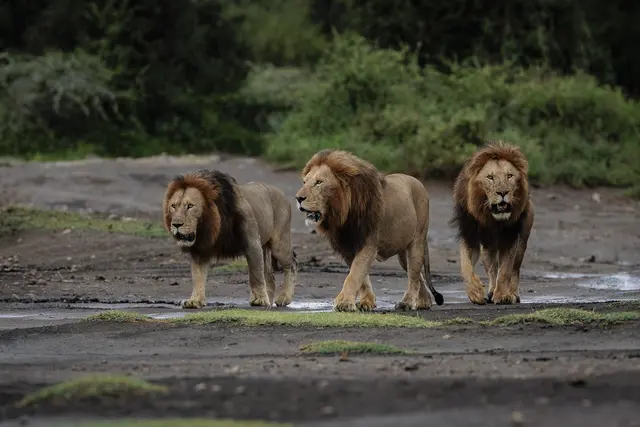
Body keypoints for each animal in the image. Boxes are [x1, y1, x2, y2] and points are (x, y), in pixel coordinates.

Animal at [162, 169, 298, 309]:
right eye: (173, 206)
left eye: (190, 206)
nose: (176, 224)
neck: (211, 225)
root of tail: (281, 192)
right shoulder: (200, 250)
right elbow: (197, 276)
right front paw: (195, 300)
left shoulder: (252, 244)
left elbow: (255, 275)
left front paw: (258, 300)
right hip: (265, 246)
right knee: (270, 276)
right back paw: (269, 302)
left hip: (279, 244)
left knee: (292, 264)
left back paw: (284, 298)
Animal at [294, 149, 444, 312]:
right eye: (304, 182)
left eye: (319, 182)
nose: (298, 198)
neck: (343, 214)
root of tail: (417, 182)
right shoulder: (348, 246)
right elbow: (361, 277)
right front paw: (366, 302)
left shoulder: (368, 243)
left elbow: (355, 274)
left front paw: (344, 303)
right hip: (403, 254)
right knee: (417, 276)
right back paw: (424, 302)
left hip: (416, 242)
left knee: (414, 275)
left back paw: (407, 302)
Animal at [449, 140, 535, 305]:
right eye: (490, 177)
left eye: (509, 176)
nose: (503, 192)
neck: (493, 220)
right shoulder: (470, 236)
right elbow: (465, 266)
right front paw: (476, 292)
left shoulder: (511, 237)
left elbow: (506, 270)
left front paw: (502, 295)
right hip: (487, 249)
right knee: (492, 270)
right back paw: (490, 292)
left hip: (522, 242)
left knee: (515, 269)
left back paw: (512, 294)